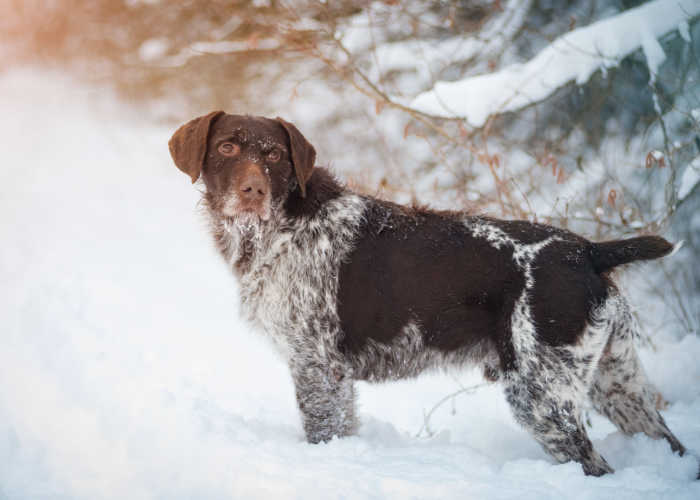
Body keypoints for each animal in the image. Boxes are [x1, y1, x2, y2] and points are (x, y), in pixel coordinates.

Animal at [167, 111, 692, 478]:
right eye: (227, 146)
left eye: (275, 154)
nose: (253, 191)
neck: (279, 227)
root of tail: (587, 251)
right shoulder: (330, 373)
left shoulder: (317, 365)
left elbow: (323, 429)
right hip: (617, 385)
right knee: (670, 444)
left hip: (541, 396)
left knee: (593, 464)